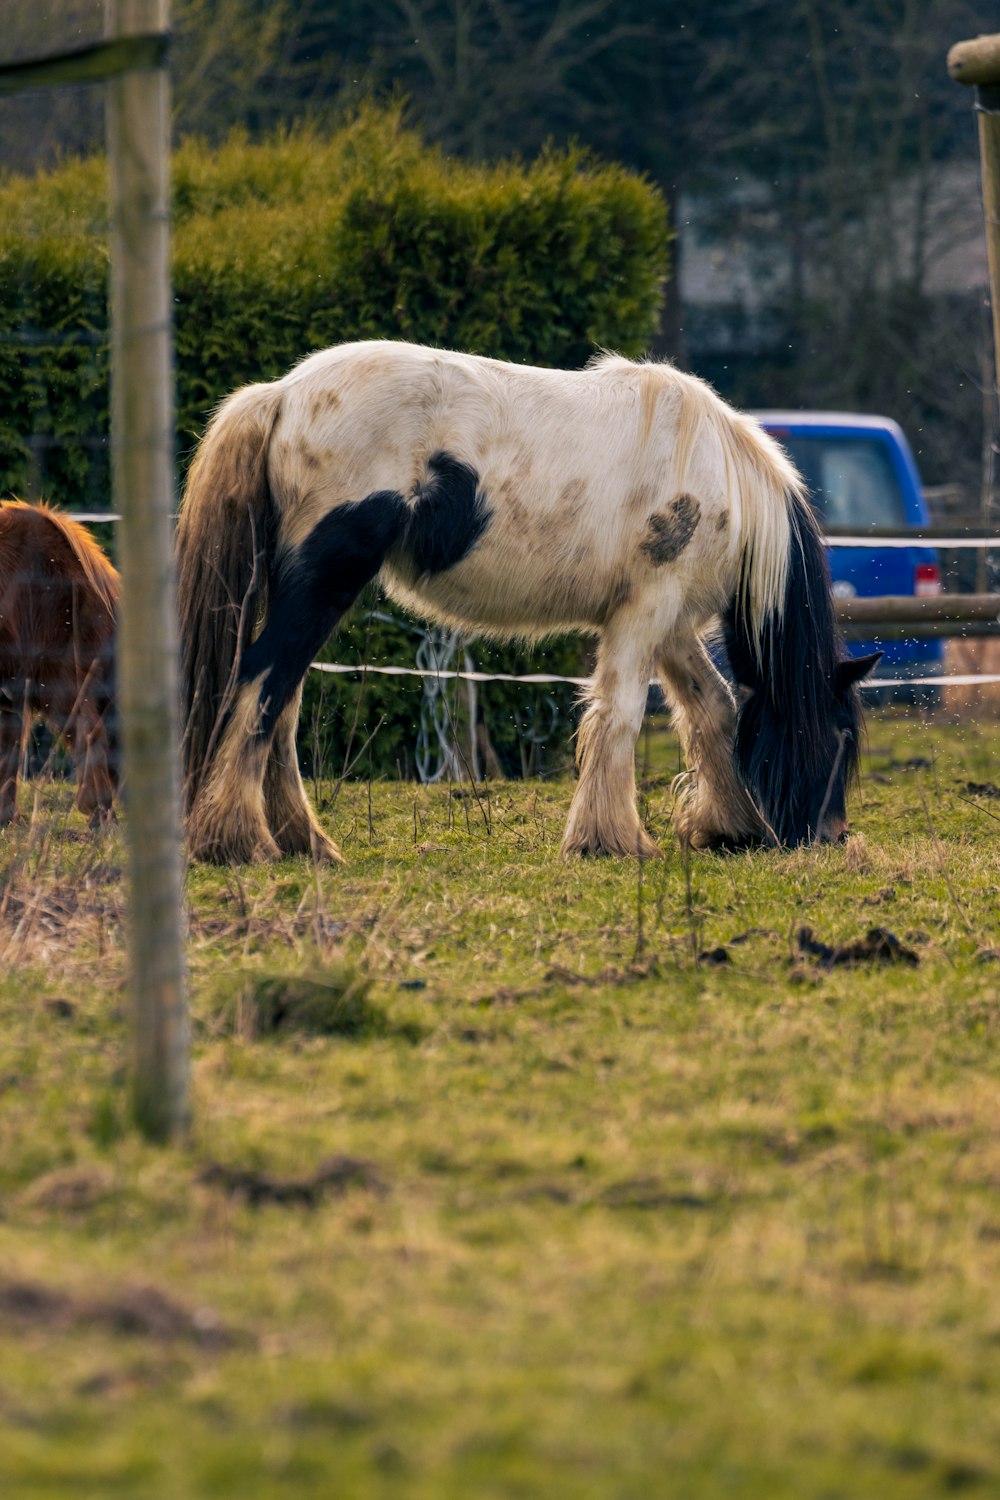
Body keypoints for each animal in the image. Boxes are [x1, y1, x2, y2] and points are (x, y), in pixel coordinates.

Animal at [176, 334, 881, 864]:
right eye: (841, 734)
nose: (831, 836)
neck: (722, 478)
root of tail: (283, 394)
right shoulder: (645, 612)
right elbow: (620, 713)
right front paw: (611, 841)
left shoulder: (671, 623)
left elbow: (713, 710)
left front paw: (729, 825)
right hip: (323, 583)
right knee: (261, 684)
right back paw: (239, 841)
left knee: (282, 700)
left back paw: (303, 842)